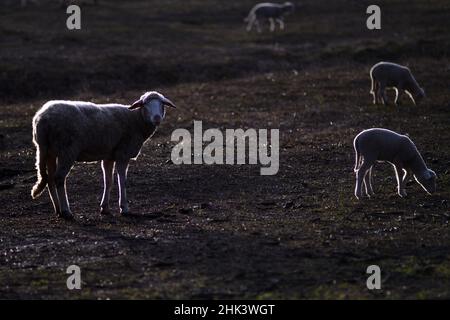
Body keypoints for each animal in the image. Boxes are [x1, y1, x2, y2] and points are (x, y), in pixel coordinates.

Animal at [31, 91, 176, 219]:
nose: (157, 118)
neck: (137, 120)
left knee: (49, 179)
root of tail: (42, 119)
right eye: (145, 104)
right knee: (59, 178)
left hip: (49, 151)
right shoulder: (123, 153)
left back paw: (58, 210)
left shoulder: (109, 156)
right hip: (67, 150)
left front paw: (105, 208)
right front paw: (124, 208)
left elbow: (108, 181)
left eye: (162, 104)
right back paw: (66, 211)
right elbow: (122, 180)